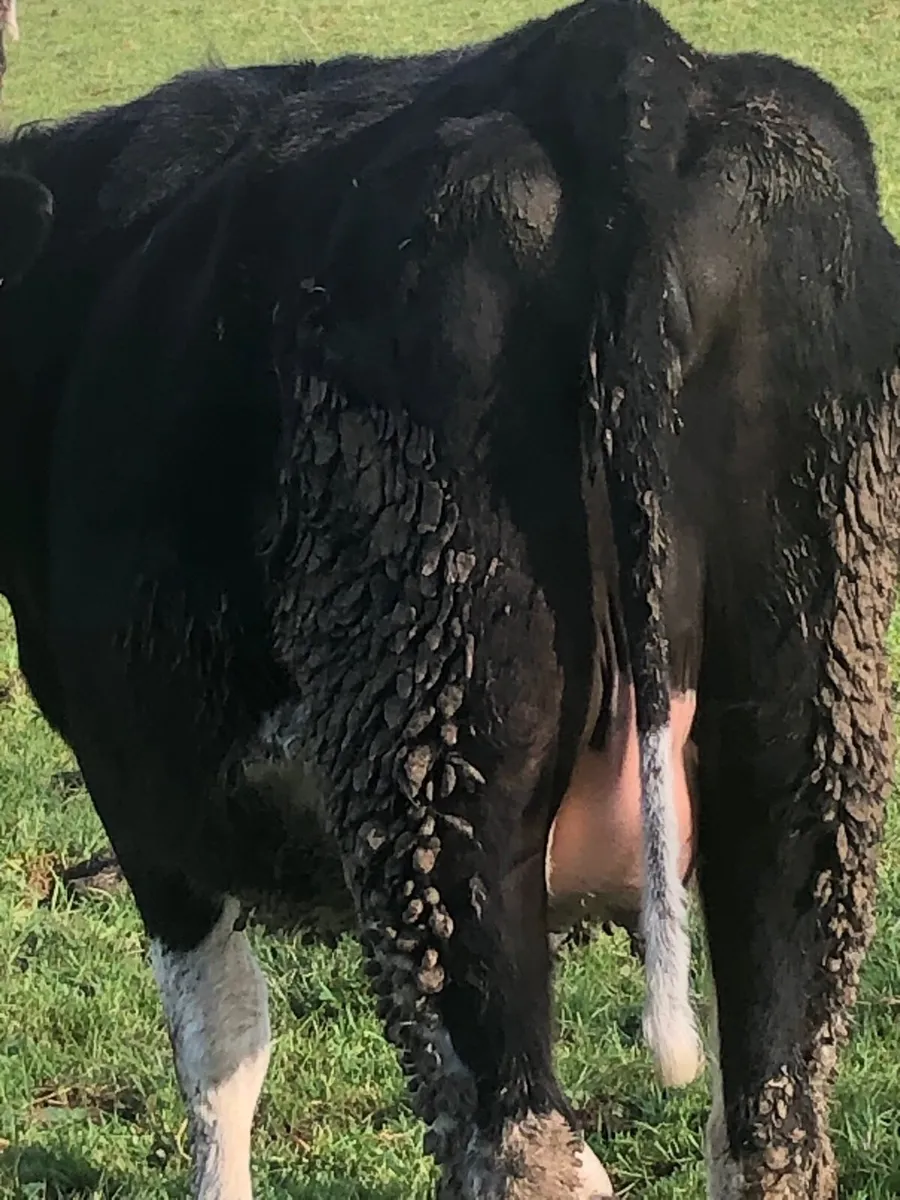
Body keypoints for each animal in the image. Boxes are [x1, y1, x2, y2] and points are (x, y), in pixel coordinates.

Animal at [2, 0, 900, 1197]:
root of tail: (619, 58)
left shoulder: (142, 781)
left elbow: (221, 1051)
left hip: (438, 749)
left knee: (524, 1143)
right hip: (809, 726)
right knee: (772, 1123)